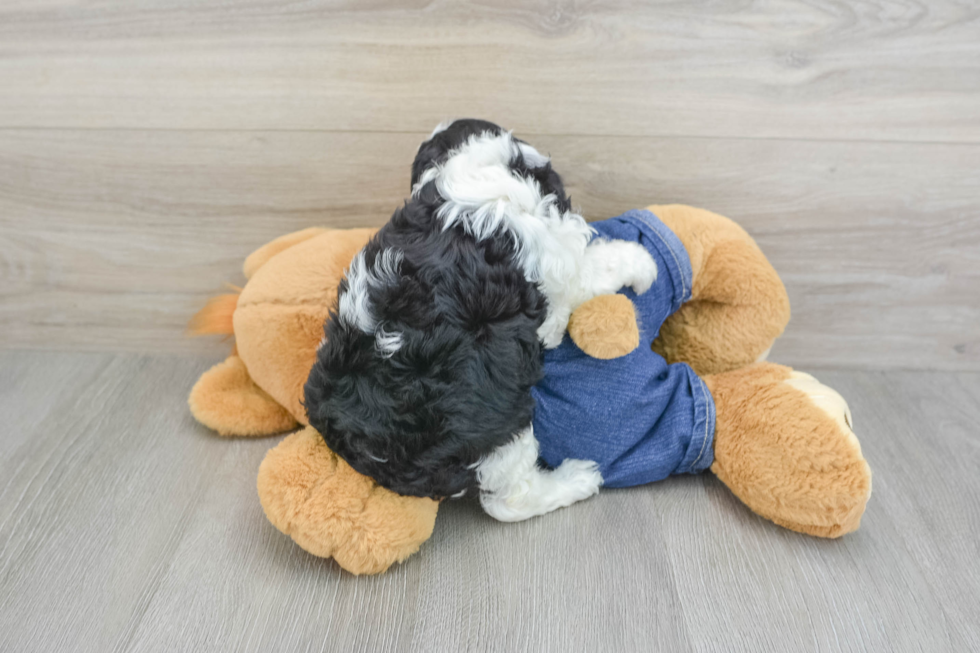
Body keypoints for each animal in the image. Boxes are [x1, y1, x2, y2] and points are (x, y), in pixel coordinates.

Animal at [304, 121, 660, 520]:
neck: (471, 170)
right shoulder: (559, 264)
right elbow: (594, 270)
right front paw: (643, 264)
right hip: (499, 424)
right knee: (510, 500)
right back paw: (578, 478)